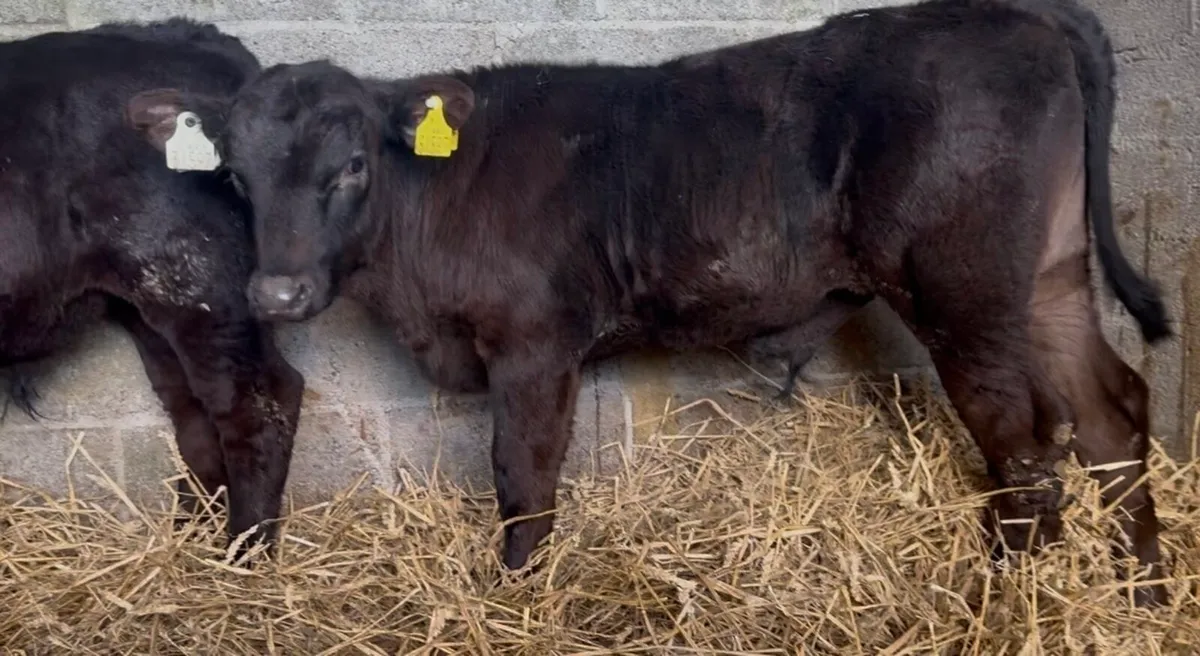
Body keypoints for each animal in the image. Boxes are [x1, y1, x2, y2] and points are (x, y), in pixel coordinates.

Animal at [0, 19, 304, 560]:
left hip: (202, 287)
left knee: (259, 402)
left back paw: (244, 555)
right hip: (148, 307)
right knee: (194, 410)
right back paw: (191, 534)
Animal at [126, 0, 1173, 604]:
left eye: (349, 166)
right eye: (235, 175)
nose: (278, 289)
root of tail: (1019, 14)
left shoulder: (536, 343)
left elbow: (522, 471)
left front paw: (518, 594)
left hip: (965, 289)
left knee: (1024, 440)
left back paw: (1011, 596)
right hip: (1050, 276)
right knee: (1111, 409)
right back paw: (1142, 588)